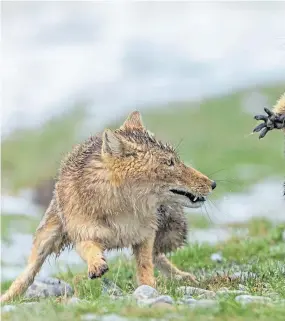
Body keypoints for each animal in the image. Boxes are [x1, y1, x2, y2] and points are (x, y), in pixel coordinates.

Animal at [0, 110, 215, 302]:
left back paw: (182, 276)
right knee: (27, 274)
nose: (213, 183)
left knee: (158, 256)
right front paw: (96, 264)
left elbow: (145, 266)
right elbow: (89, 248)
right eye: (169, 163)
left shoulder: (145, 235)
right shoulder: (84, 234)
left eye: (176, 160)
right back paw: (8, 297)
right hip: (46, 239)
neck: (122, 211)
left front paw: (149, 288)